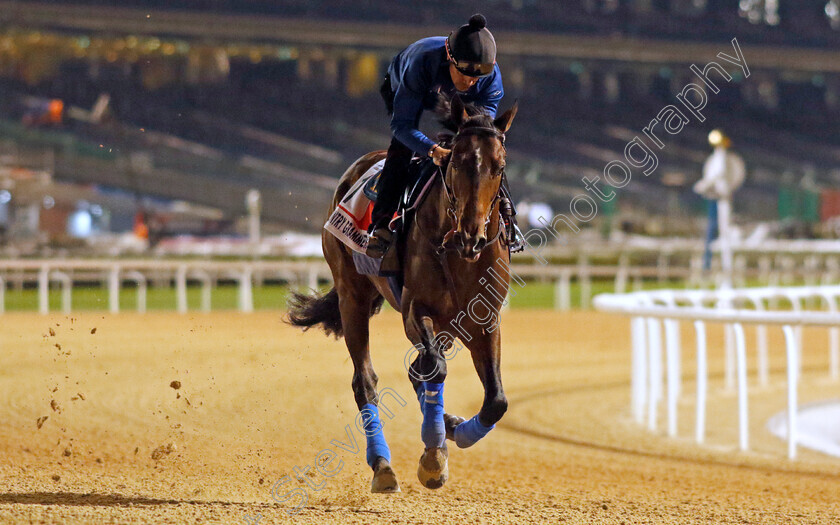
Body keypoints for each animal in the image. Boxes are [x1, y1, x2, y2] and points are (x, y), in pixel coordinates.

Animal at [288, 94, 520, 492]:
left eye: (499, 166)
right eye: (457, 161)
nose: (472, 236)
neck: (455, 251)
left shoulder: (484, 319)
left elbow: (496, 401)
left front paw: (453, 433)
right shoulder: (416, 309)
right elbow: (435, 369)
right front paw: (433, 456)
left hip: (449, 323)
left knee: (418, 370)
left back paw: (448, 426)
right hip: (352, 296)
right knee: (365, 381)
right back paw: (382, 466)